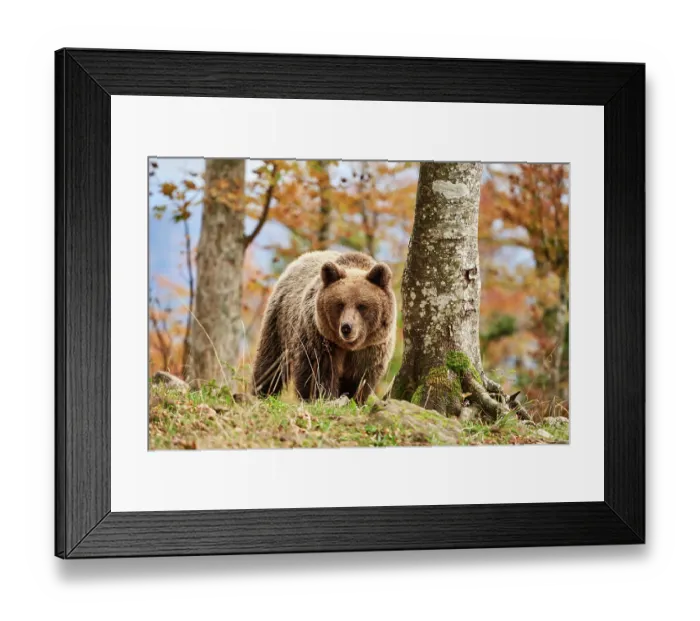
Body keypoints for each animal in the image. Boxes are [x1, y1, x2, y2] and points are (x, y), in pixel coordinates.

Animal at [252, 251, 396, 404]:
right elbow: (318, 372)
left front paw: (354, 398)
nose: (346, 327)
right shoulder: (319, 339)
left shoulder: (371, 348)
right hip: (280, 321)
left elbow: (360, 378)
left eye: (362, 306)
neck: (348, 346)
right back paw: (263, 392)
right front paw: (321, 397)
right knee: (271, 361)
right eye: (340, 304)